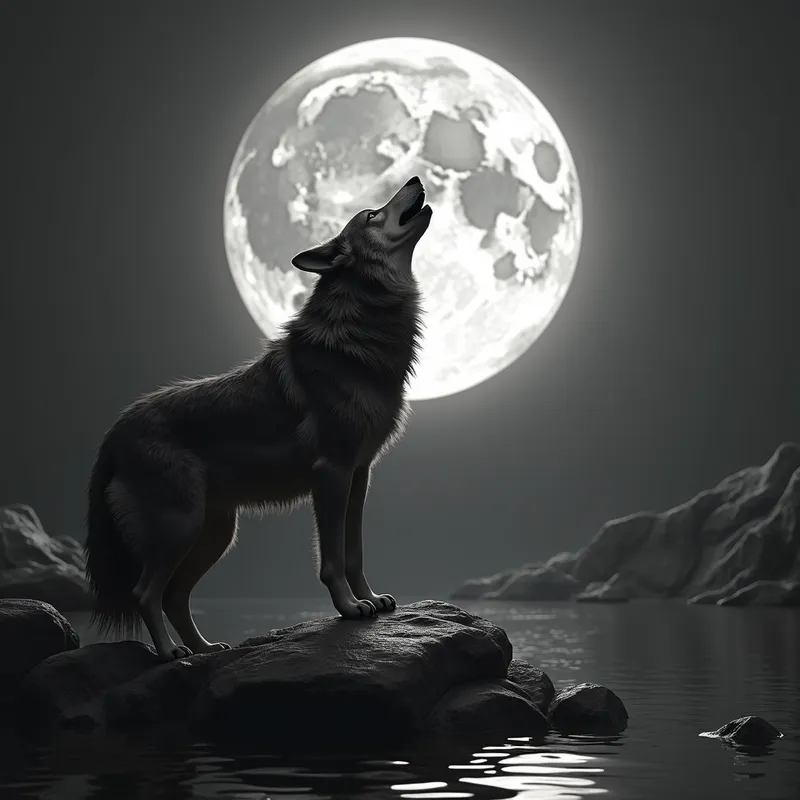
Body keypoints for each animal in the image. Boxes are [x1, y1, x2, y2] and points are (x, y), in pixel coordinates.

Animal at [84, 176, 432, 661]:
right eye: (371, 214)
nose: (415, 179)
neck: (361, 337)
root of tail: (114, 430)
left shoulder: (358, 474)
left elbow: (355, 552)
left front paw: (370, 600)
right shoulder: (331, 473)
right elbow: (332, 559)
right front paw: (348, 608)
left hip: (215, 534)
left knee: (174, 596)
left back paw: (206, 649)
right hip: (182, 527)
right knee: (145, 593)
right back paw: (172, 653)